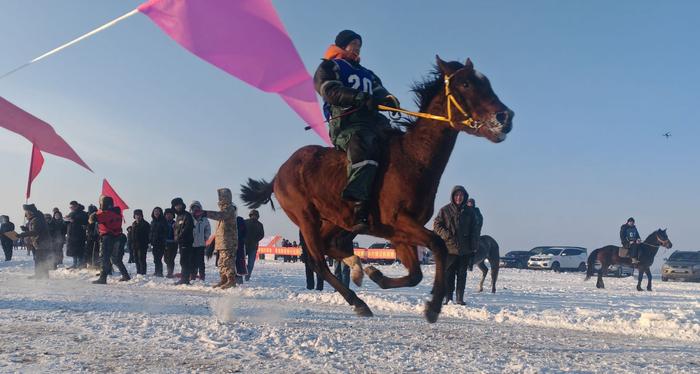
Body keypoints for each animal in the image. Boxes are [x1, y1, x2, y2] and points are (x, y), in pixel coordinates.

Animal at [242, 57, 516, 322]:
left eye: (486, 82)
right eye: (466, 84)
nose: (506, 116)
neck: (413, 158)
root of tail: (279, 173)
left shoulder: (399, 232)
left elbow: (415, 274)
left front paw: (376, 274)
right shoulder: (399, 221)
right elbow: (438, 244)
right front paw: (433, 307)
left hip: (336, 219)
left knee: (331, 246)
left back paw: (357, 268)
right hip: (306, 217)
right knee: (317, 261)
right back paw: (358, 301)